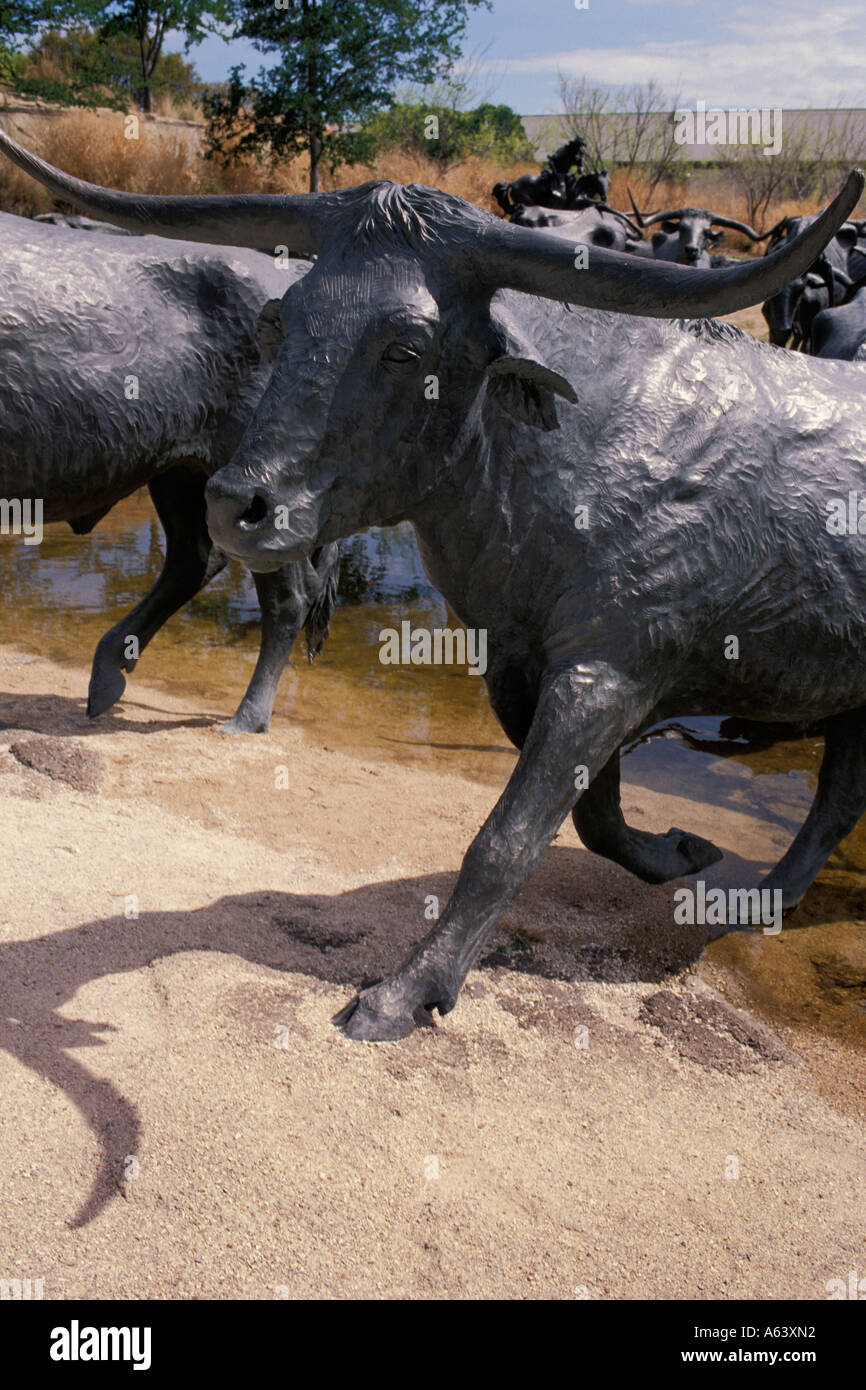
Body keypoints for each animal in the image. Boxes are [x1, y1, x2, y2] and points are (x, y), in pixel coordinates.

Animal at [0, 208, 338, 733]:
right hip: (180, 472)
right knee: (193, 558)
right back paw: (106, 677)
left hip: (252, 489)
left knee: (288, 596)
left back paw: (247, 716)